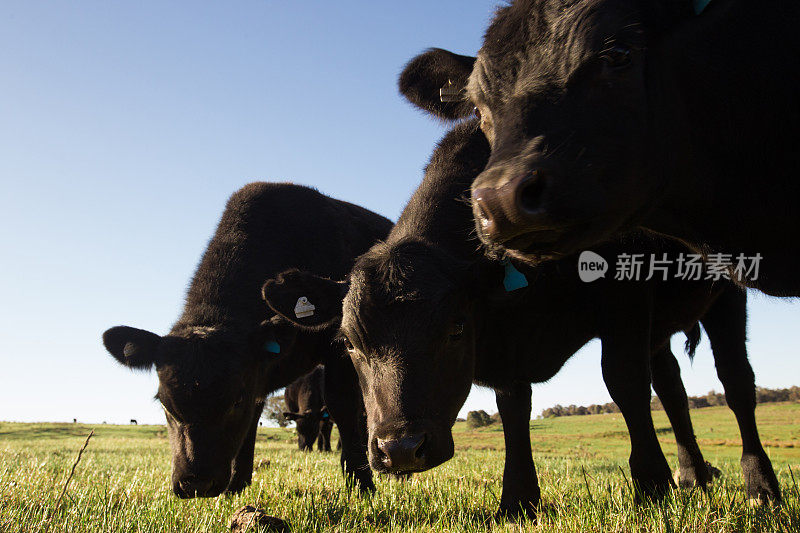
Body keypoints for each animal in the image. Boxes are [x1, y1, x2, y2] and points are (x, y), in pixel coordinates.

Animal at [104, 184, 392, 498]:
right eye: (164, 404)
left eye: (234, 401)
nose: (195, 483)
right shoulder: (257, 371)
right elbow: (254, 417)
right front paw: (237, 483)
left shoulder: (340, 350)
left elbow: (343, 408)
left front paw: (361, 485)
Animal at [262, 120, 780, 516]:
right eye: (350, 342)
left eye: (455, 328)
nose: (399, 450)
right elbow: (514, 408)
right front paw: (517, 499)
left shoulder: (624, 299)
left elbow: (624, 383)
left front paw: (652, 486)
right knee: (672, 387)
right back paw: (694, 474)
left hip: (726, 289)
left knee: (735, 382)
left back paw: (761, 486)